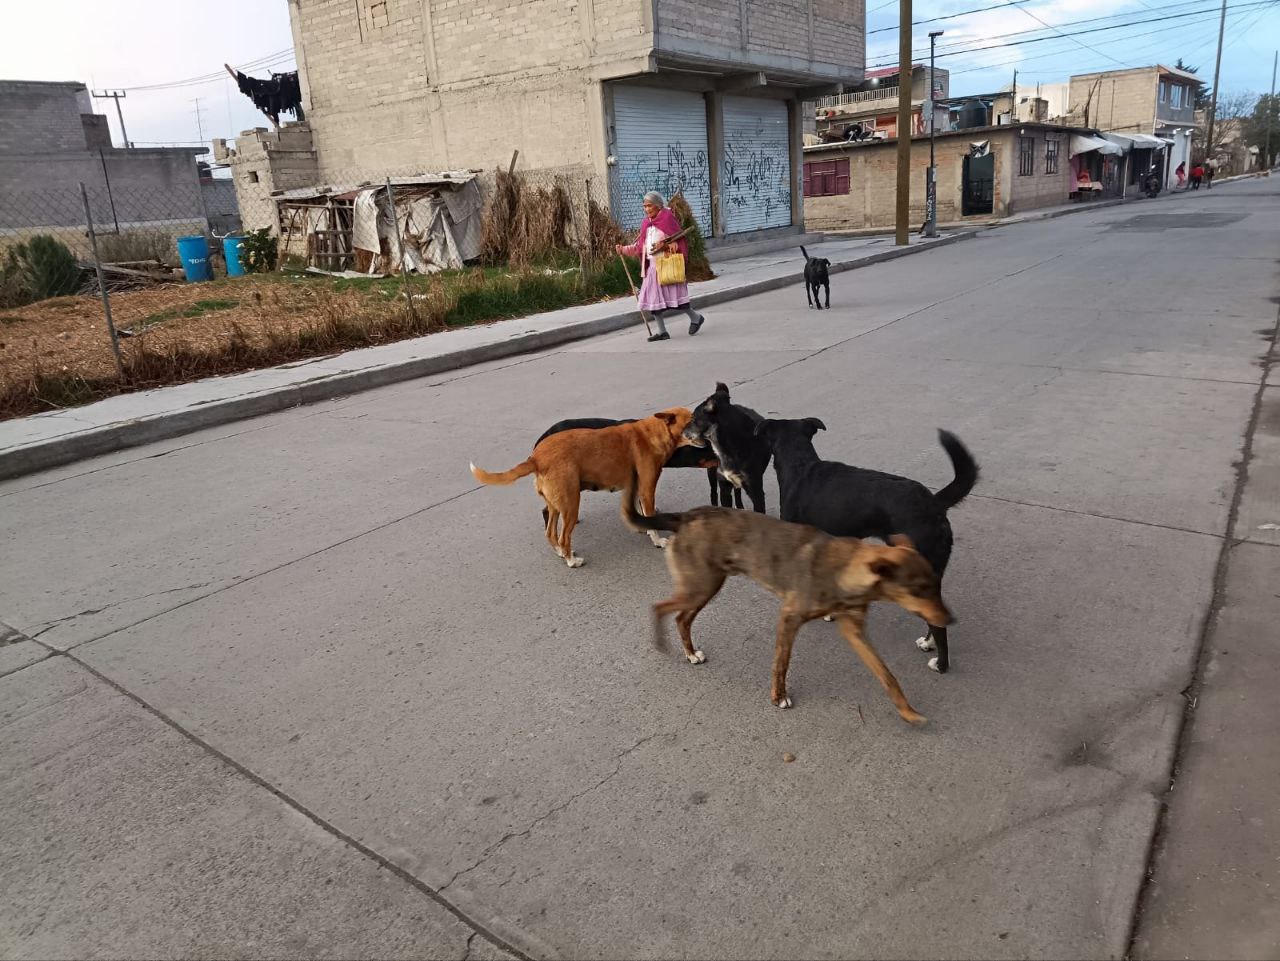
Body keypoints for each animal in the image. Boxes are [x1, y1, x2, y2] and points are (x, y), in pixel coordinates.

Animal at [468, 406, 691, 570]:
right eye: (691, 421)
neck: (653, 432)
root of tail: (536, 458)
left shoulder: (636, 489)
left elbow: (640, 513)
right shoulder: (646, 490)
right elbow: (650, 516)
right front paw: (658, 540)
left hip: (556, 506)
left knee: (550, 532)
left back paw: (561, 552)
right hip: (571, 504)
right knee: (563, 536)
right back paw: (571, 561)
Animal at [619, 491, 952, 726]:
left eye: (934, 586)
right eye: (919, 590)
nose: (950, 620)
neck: (846, 570)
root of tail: (686, 517)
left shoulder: (854, 630)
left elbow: (887, 675)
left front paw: (908, 712)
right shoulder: (789, 618)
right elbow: (782, 663)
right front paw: (779, 697)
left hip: (705, 586)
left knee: (681, 618)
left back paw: (690, 653)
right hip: (701, 586)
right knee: (661, 608)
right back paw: (665, 645)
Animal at [680, 381, 768, 511]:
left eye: (693, 418)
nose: (681, 432)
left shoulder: (756, 492)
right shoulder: (724, 487)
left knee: (737, 491)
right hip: (712, 471)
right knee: (713, 492)